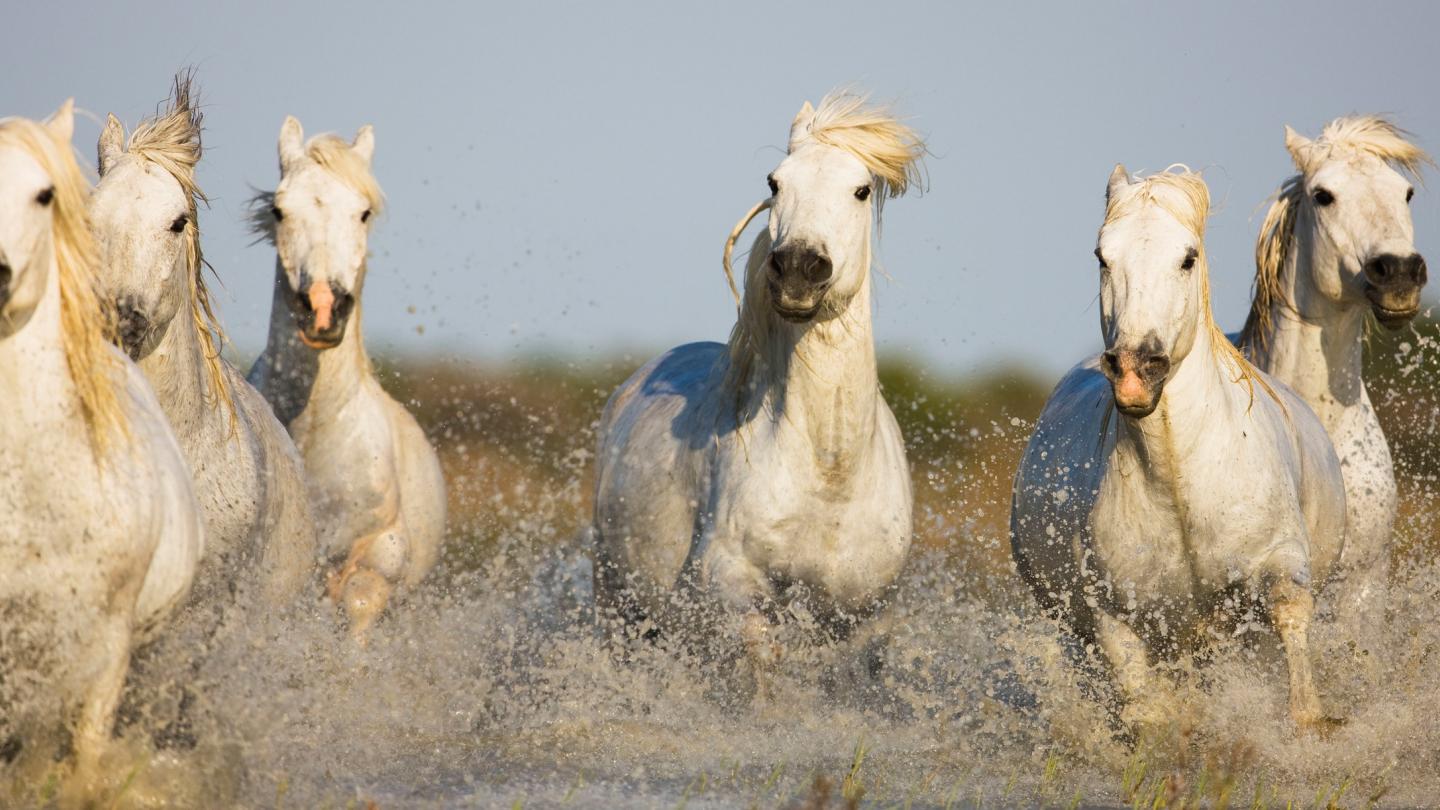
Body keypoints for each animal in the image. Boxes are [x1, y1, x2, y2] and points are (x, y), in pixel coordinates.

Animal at [591, 91, 925, 686]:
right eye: (775, 182)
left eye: (861, 190)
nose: (798, 268)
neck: (828, 471)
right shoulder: (729, 581)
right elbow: (761, 661)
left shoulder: (863, 613)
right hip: (617, 603)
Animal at [1009, 167, 1346, 738]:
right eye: (1102, 256)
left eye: (1188, 257)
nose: (1133, 370)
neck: (1178, 481)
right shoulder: (1116, 618)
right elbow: (1149, 713)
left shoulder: (1277, 565)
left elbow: (1290, 620)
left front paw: (1309, 722)